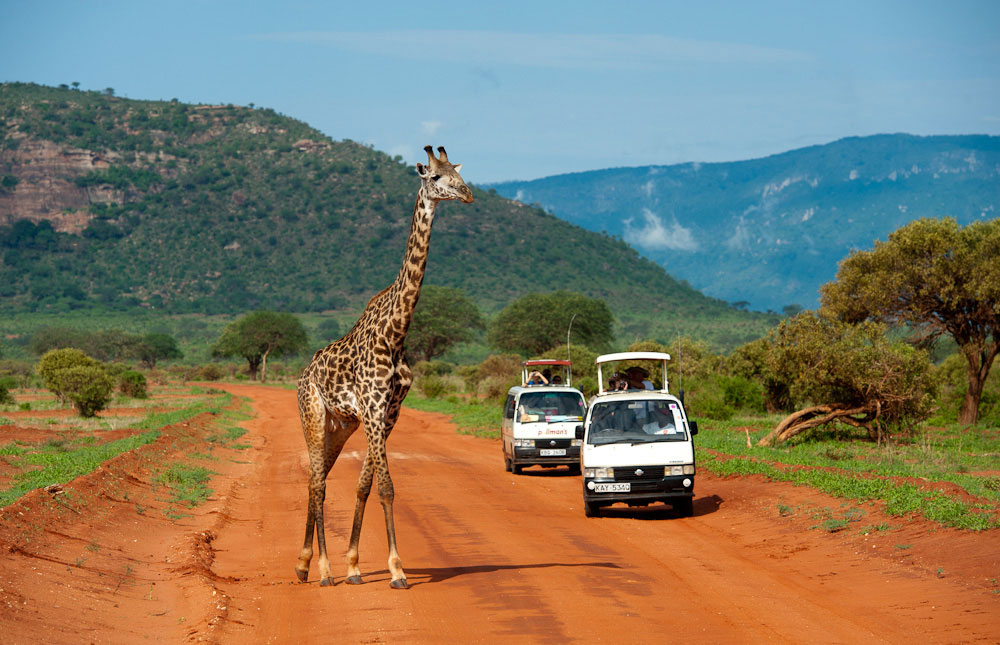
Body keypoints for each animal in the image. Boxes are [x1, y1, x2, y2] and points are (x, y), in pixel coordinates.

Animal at [294, 145, 473, 589]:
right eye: (434, 177)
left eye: (459, 173)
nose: (467, 194)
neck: (397, 331)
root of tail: (303, 374)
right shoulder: (374, 408)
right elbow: (387, 486)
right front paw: (396, 570)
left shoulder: (390, 411)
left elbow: (365, 484)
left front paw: (356, 565)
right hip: (312, 414)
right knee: (319, 483)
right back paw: (322, 571)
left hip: (340, 425)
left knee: (316, 479)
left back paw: (304, 564)